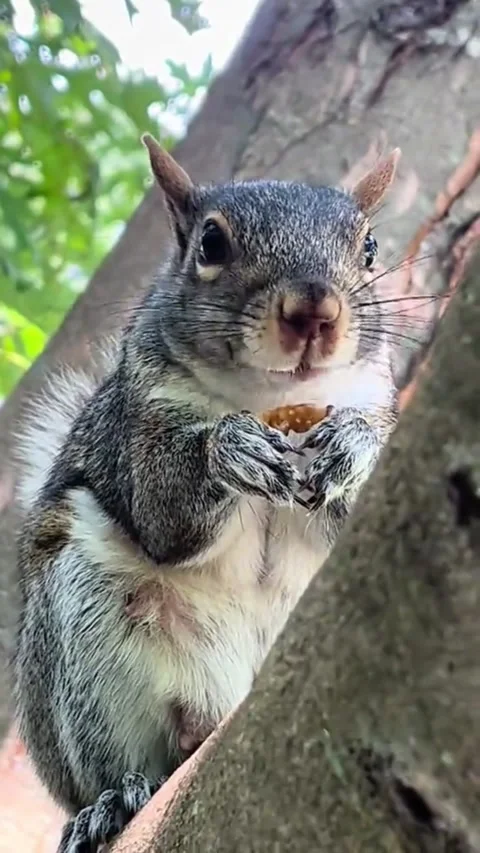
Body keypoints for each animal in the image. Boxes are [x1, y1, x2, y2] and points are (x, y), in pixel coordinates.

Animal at [13, 134, 400, 852]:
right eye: (210, 244)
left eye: (370, 248)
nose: (314, 310)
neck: (271, 400)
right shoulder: (141, 420)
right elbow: (162, 513)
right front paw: (231, 447)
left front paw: (356, 444)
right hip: (82, 634)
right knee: (116, 760)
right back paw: (111, 802)